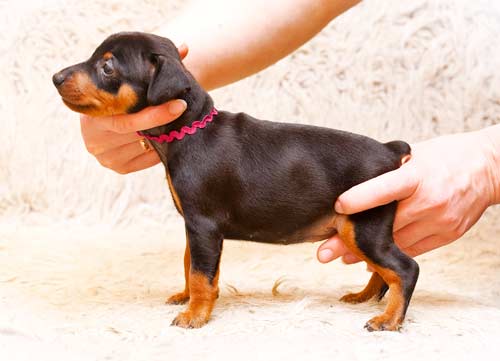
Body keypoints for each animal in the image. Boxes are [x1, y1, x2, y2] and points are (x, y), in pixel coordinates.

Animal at [51, 32, 418, 330]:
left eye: (107, 67)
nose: (55, 77)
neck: (189, 130)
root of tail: (389, 149)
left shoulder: (203, 224)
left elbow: (201, 274)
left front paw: (195, 315)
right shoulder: (195, 226)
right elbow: (190, 264)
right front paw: (186, 297)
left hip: (363, 224)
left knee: (405, 269)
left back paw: (389, 320)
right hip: (357, 230)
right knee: (382, 270)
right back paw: (364, 298)